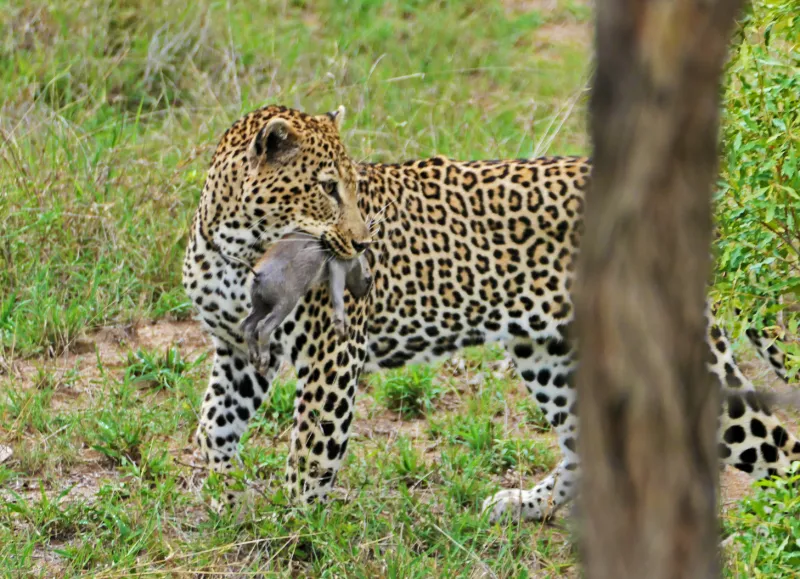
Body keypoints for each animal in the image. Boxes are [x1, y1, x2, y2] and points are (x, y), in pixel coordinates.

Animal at [182, 104, 800, 523]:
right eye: (326, 188)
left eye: (354, 188)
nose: (362, 243)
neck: (235, 246)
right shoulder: (237, 351)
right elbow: (213, 426)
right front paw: (221, 496)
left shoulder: (331, 357)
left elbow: (310, 456)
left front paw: (294, 532)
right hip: (547, 351)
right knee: (581, 441)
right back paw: (522, 503)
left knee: (780, 447)